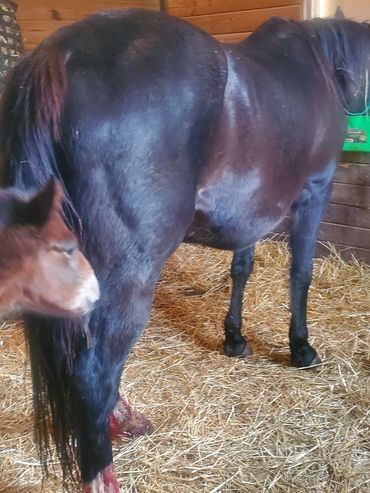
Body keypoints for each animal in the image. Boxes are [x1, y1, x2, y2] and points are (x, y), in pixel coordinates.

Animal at [0, 7, 370, 492]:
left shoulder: (251, 208)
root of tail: (60, 53)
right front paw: (301, 348)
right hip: (127, 272)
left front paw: (234, 338)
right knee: (93, 372)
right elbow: (300, 272)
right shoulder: (315, 190)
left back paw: (125, 420)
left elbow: (242, 267)